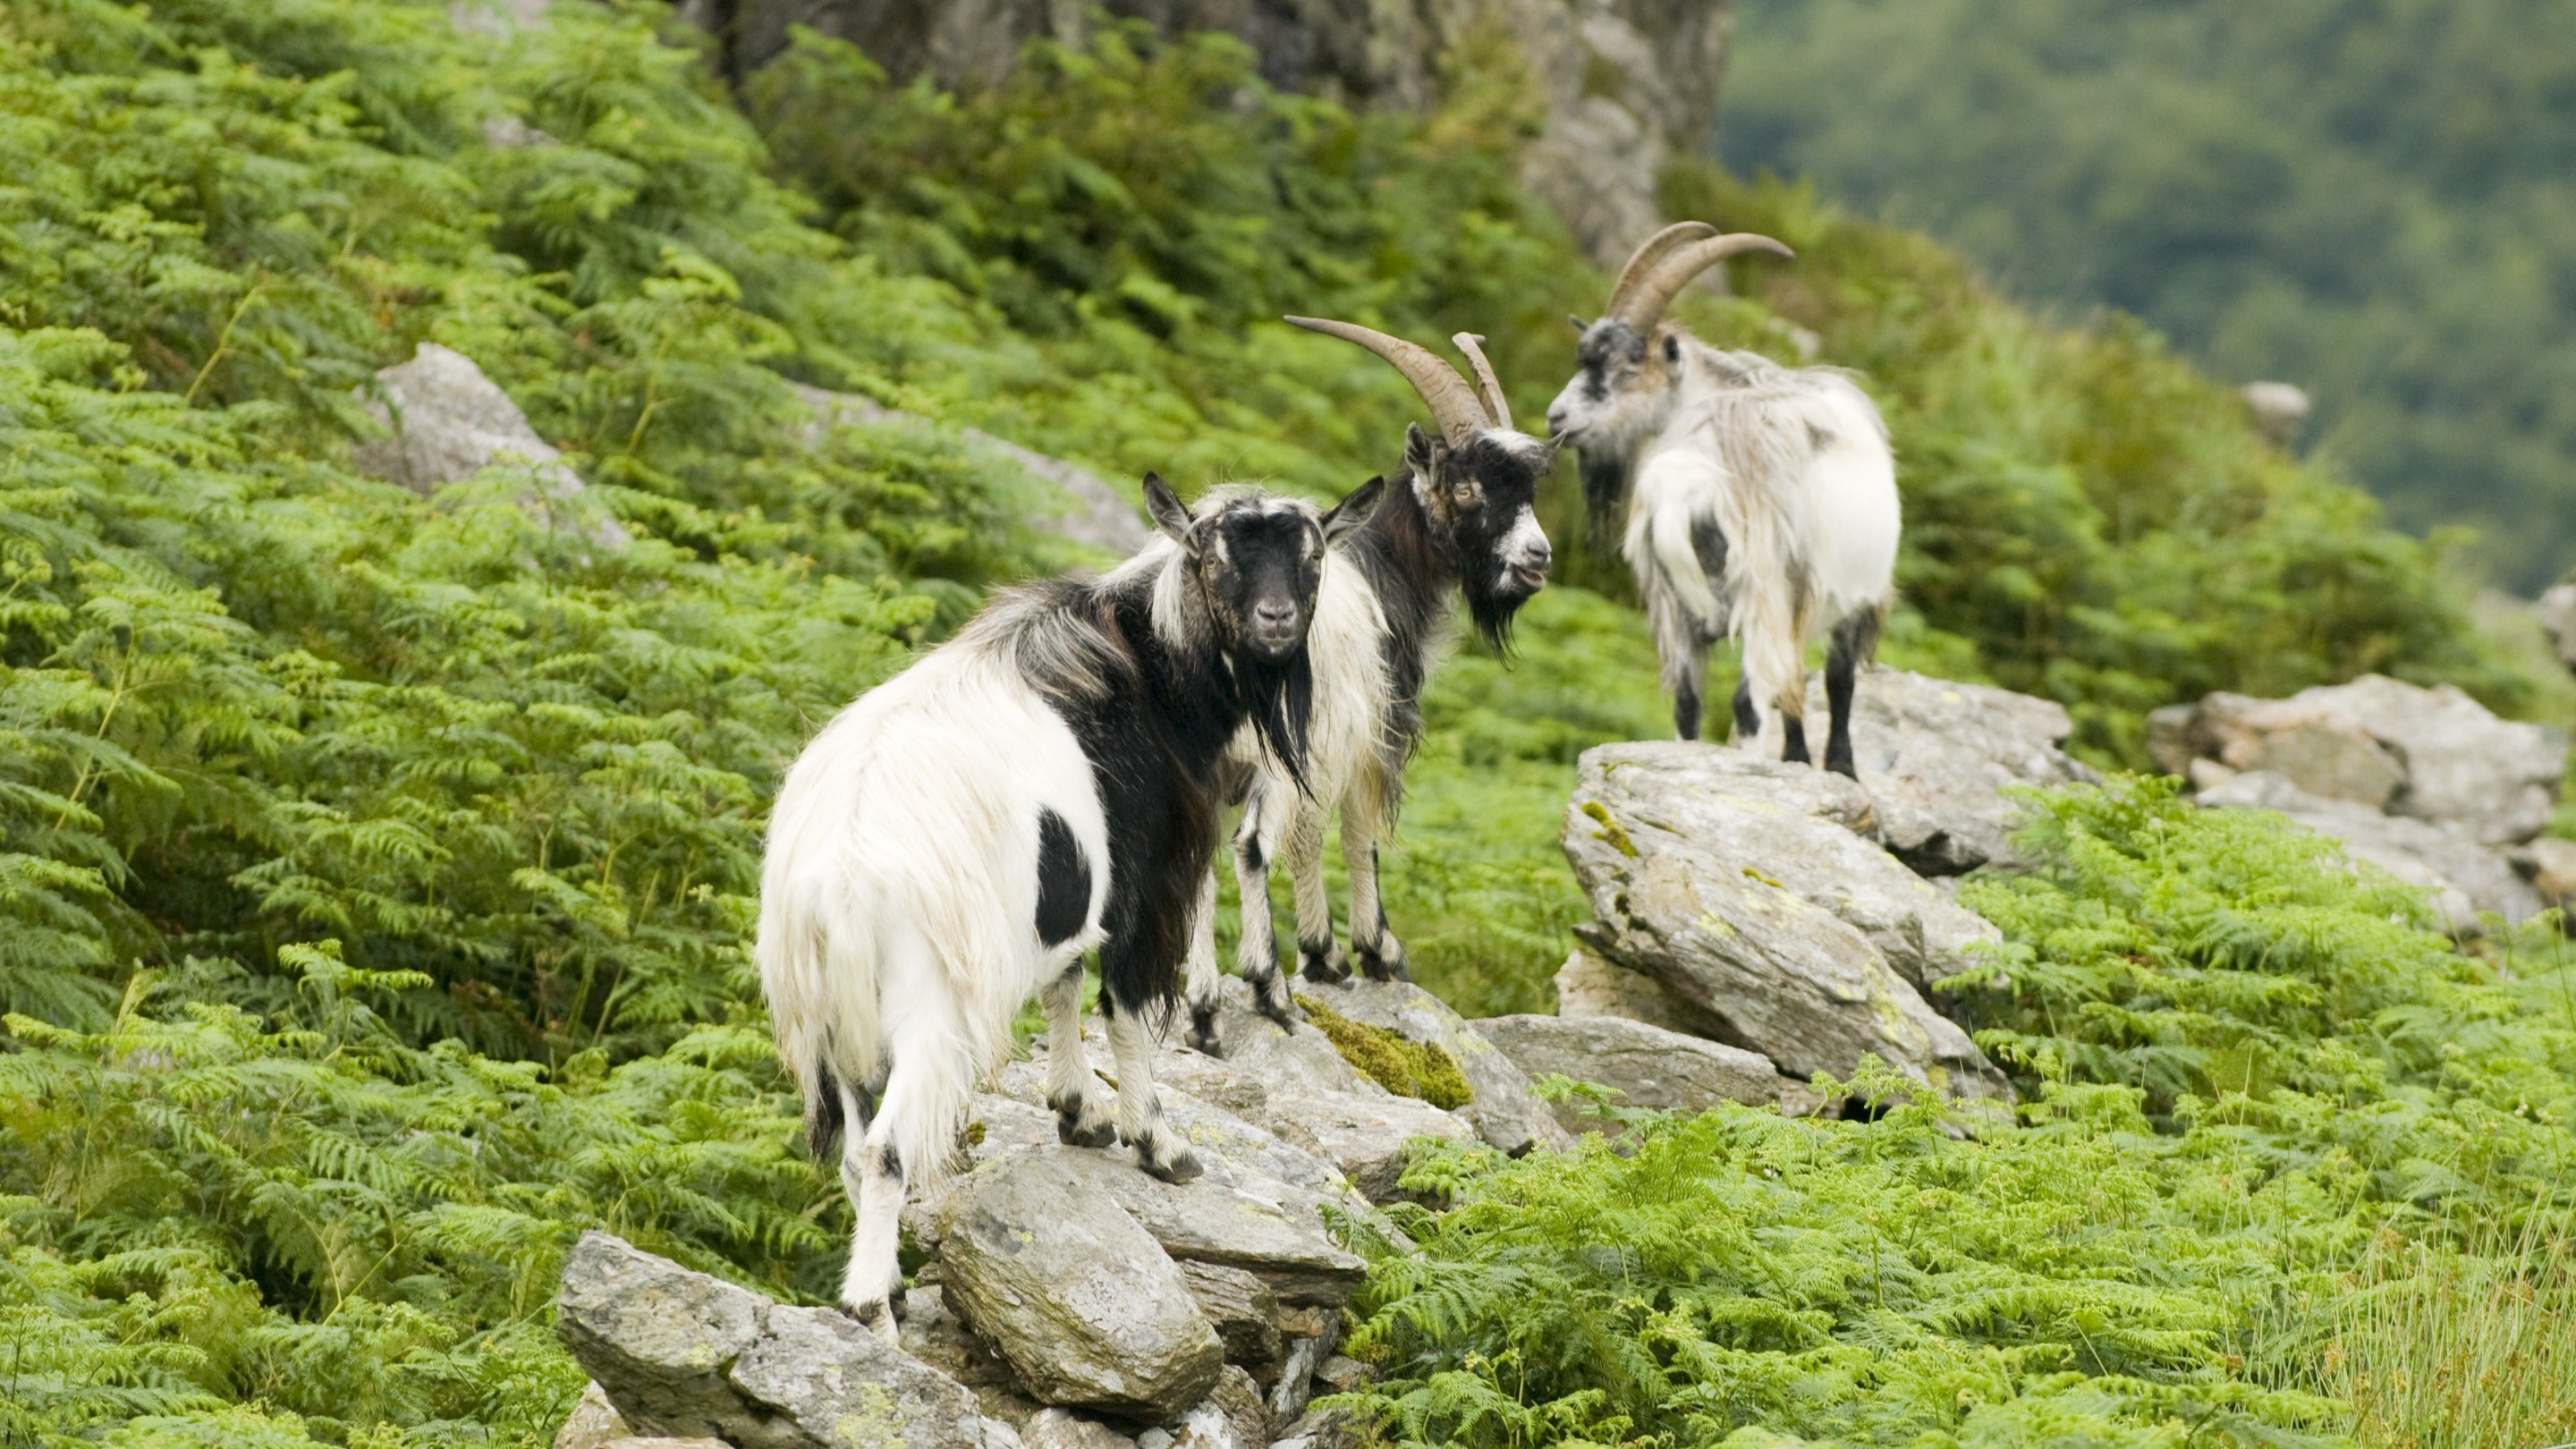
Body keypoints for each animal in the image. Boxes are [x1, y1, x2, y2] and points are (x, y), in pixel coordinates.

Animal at [756, 472, 1383, 1338]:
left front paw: (1077, 1112)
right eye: (1211, 558)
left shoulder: (1067, 896)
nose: (1276, 621)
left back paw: (886, 1289)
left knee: (853, 1151)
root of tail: (831, 879)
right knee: (885, 1151)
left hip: (826, 1020)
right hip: (926, 1005)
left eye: (1312, 556)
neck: (1149, 671)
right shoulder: (1144, 891)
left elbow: (1063, 983)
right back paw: (872, 1311)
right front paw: (1159, 1145)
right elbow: (1122, 1008)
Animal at [1180, 320, 1553, 1050]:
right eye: (1464, 488)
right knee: (1251, 846)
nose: (1537, 558)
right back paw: (1264, 987)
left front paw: (1323, 954)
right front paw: (1370, 951)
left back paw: (1204, 1009)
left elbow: (1312, 838)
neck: (1386, 567)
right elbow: (1357, 832)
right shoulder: (1370, 731)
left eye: (1528, 488)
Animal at [1546, 222, 1898, 778]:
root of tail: (1686, 485)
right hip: (1763, 592)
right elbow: (1832, 683)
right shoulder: (1840, 597)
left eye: (1630, 366)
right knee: (1756, 701)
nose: (1556, 418)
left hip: (1686, 608)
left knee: (1692, 702)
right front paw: (1838, 767)